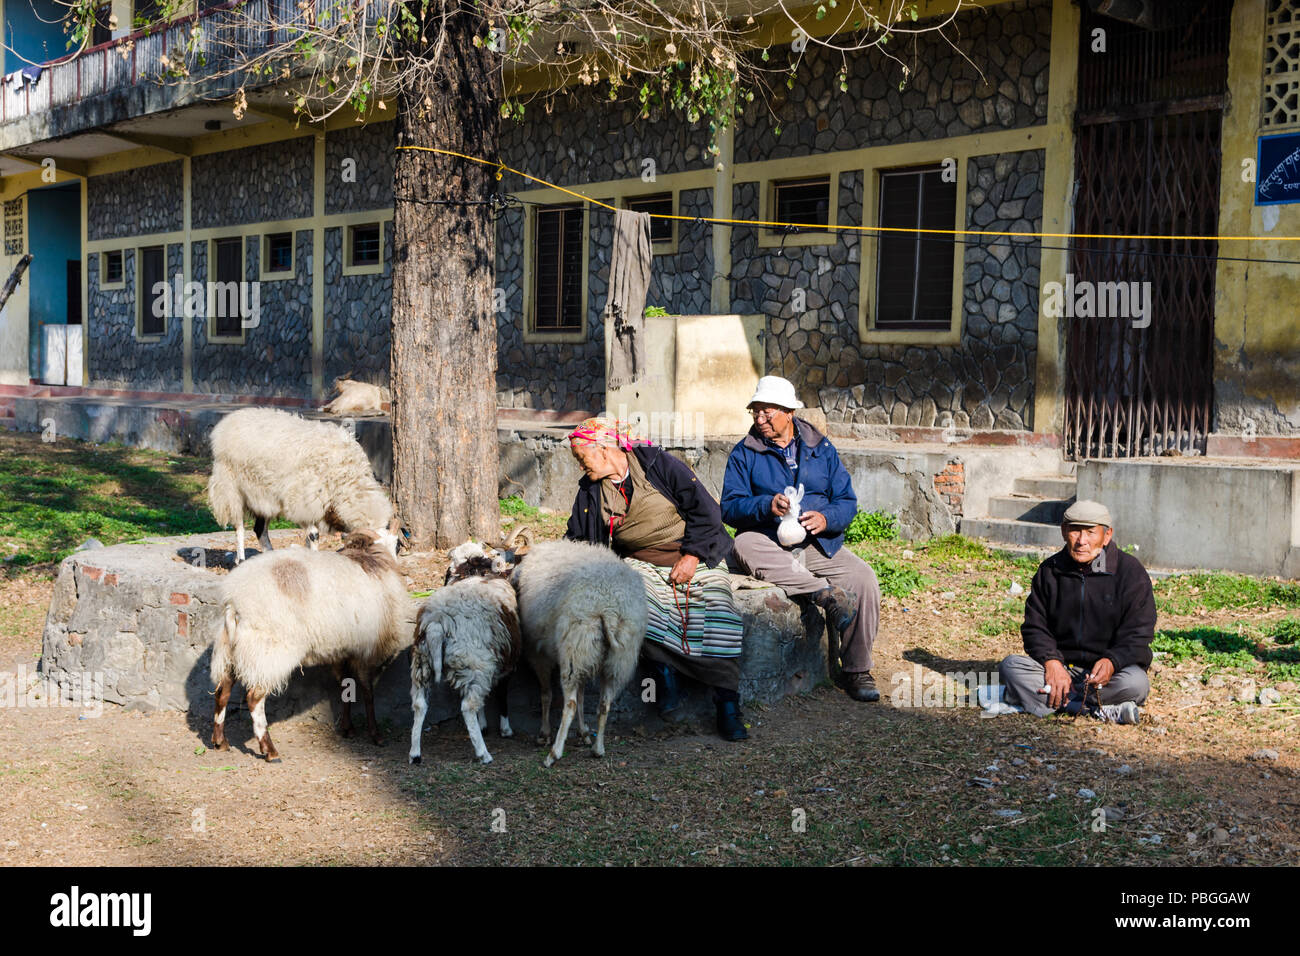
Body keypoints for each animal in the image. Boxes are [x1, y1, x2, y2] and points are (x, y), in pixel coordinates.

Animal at [204, 405, 390, 561]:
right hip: (230, 486)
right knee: (239, 525)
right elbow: (313, 536)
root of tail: (232, 417)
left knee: (259, 529)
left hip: (264, 495)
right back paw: (241, 559)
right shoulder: (304, 502)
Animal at [210, 520, 410, 759]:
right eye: (398, 544)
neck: (375, 559)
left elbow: (345, 687)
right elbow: (367, 691)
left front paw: (348, 729)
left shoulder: (342, 650)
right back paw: (269, 749)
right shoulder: (366, 648)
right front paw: (376, 735)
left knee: (222, 691)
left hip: (230, 648)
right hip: (268, 652)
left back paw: (220, 741)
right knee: (254, 698)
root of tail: (235, 602)